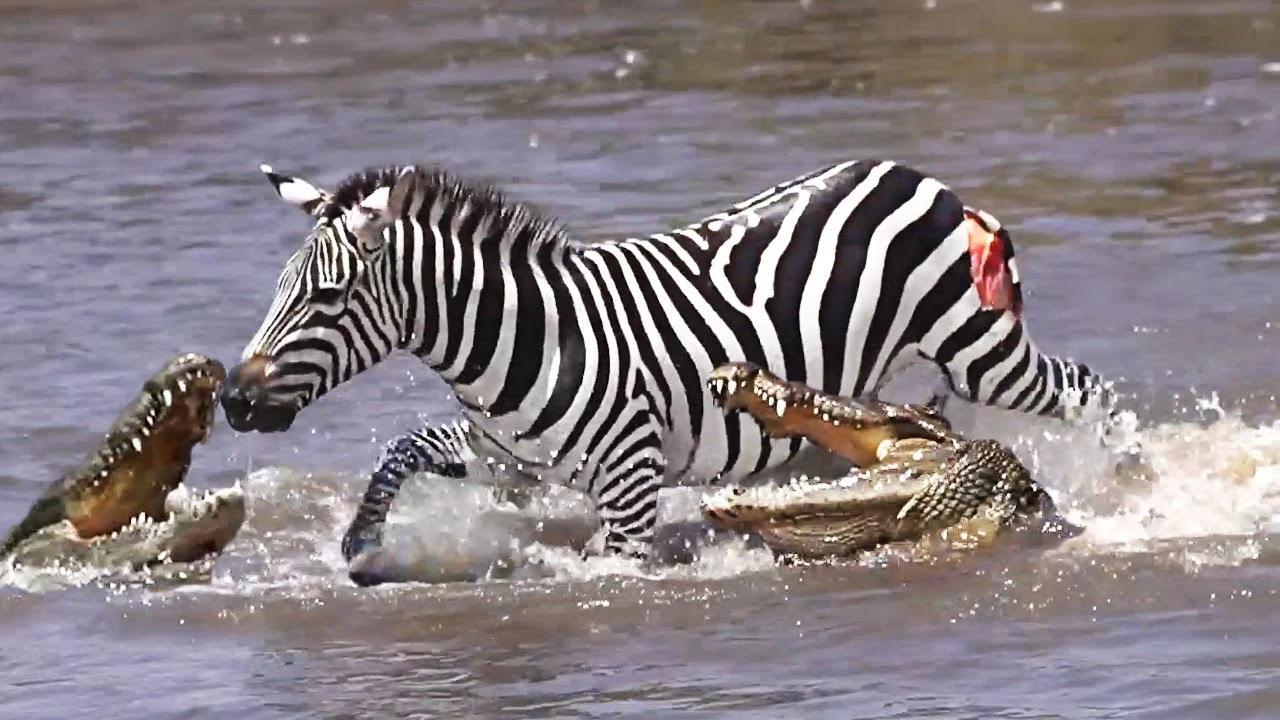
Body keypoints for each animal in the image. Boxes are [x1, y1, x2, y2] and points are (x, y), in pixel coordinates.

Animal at [218, 158, 1122, 586]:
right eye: (278, 288)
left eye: (325, 297)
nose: (230, 400)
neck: (532, 337)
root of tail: (929, 184)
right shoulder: (508, 461)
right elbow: (402, 449)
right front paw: (363, 542)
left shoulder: (629, 482)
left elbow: (615, 568)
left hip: (977, 347)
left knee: (1089, 391)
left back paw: (1124, 480)